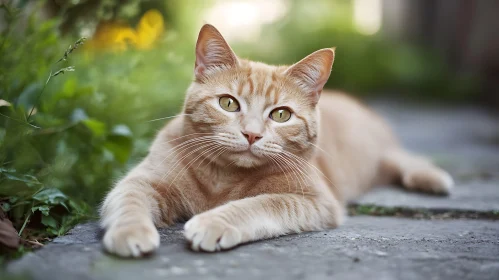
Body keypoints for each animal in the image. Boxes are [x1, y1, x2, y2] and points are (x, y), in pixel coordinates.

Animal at [99, 24, 456, 258]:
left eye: (281, 115)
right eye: (228, 103)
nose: (252, 134)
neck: (222, 179)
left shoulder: (316, 202)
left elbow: (259, 203)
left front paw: (215, 221)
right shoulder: (143, 181)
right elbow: (129, 201)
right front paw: (129, 232)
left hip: (378, 149)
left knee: (402, 156)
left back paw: (432, 178)